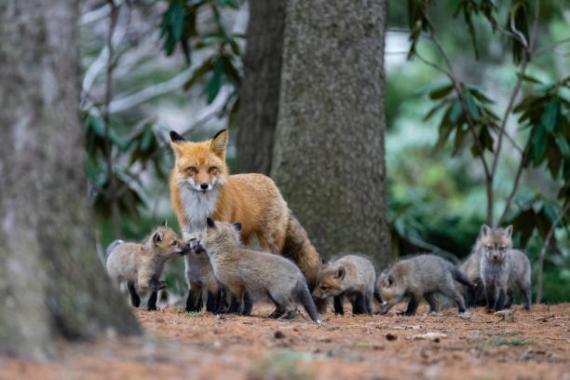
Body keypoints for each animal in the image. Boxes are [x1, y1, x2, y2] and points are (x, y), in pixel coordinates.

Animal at [168, 130, 320, 312]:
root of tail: (269, 181)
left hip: (268, 243)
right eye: (192, 169)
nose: (204, 185)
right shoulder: (190, 231)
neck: (200, 209)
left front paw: (218, 308)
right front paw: (197, 307)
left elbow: (218, 281)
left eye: (212, 169)